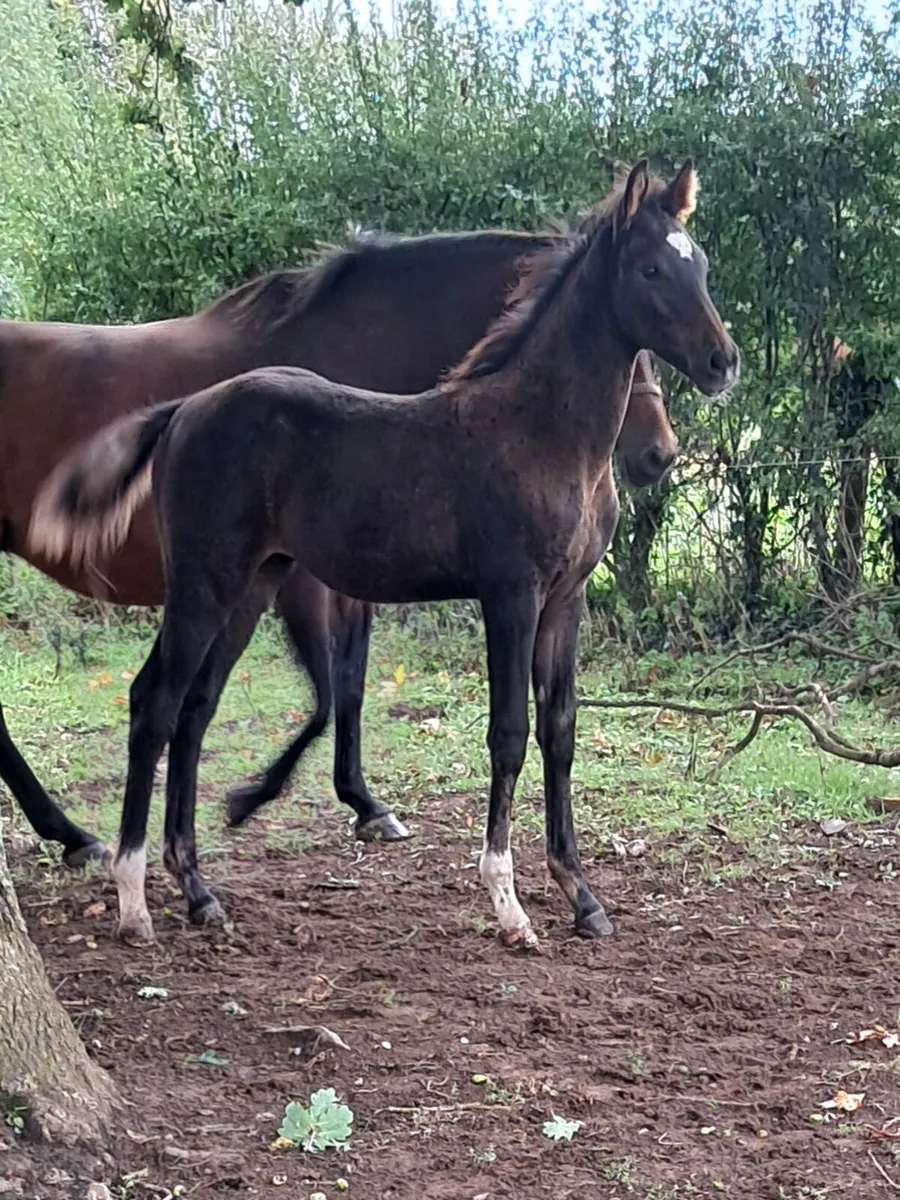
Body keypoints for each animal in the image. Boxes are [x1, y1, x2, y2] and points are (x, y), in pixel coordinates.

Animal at [31, 160, 738, 948]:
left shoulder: (566, 599)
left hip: (251, 586)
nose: (723, 362)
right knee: (154, 701)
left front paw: (581, 896)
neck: (542, 431)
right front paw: (509, 905)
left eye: (700, 265)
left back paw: (199, 892)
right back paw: (132, 900)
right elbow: (509, 733)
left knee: (194, 709)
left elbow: (560, 730)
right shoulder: (511, 594)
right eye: (650, 269)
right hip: (203, 585)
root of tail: (185, 410)